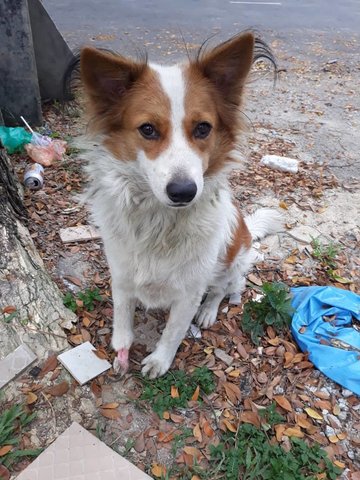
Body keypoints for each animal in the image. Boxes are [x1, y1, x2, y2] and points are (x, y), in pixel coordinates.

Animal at [79, 32, 284, 378]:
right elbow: (122, 316)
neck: (159, 224)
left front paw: (160, 360)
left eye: (203, 128)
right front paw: (122, 347)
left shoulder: (189, 292)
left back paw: (210, 310)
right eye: (147, 129)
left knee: (224, 289)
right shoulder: (121, 275)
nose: (183, 191)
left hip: (233, 262)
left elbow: (174, 331)